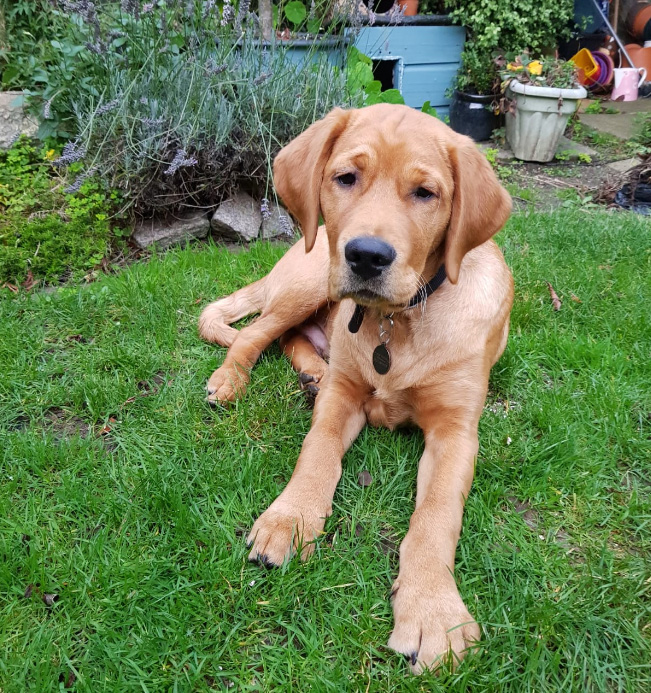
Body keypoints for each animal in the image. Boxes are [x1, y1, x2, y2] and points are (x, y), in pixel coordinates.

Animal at [199, 105, 516, 672]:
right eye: (346, 178)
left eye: (425, 193)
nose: (366, 255)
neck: (398, 323)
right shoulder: (342, 398)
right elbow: (317, 451)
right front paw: (290, 518)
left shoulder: (457, 432)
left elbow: (436, 514)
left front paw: (433, 610)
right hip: (310, 277)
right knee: (258, 335)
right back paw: (231, 380)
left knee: (291, 338)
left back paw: (310, 372)